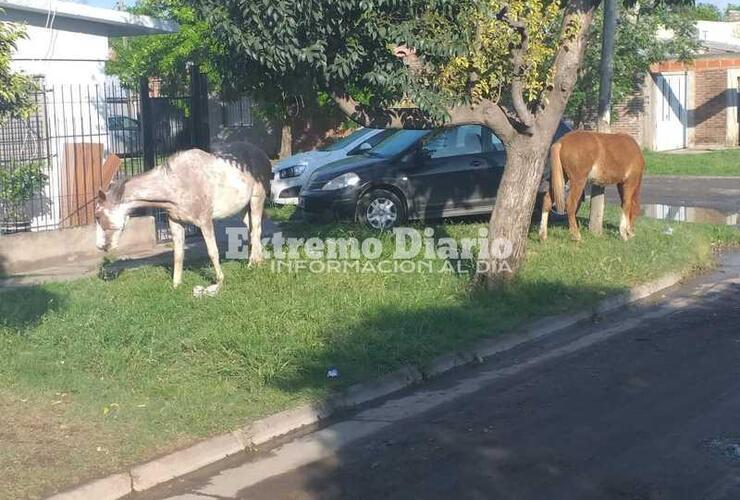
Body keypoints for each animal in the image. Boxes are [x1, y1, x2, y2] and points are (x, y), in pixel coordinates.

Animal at [94, 141, 270, 292]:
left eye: (97, 215)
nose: (100, 246)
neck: (178, 184)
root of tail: (262, 155)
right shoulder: (175, 223)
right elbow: (178, 255)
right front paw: (176, 284)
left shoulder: (205, 221)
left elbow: (212, 251)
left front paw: (219, 281)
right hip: (244, 209)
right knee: (253, 230)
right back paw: (258, 261)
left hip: (256, 200)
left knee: (256, 230)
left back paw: (251, 264)